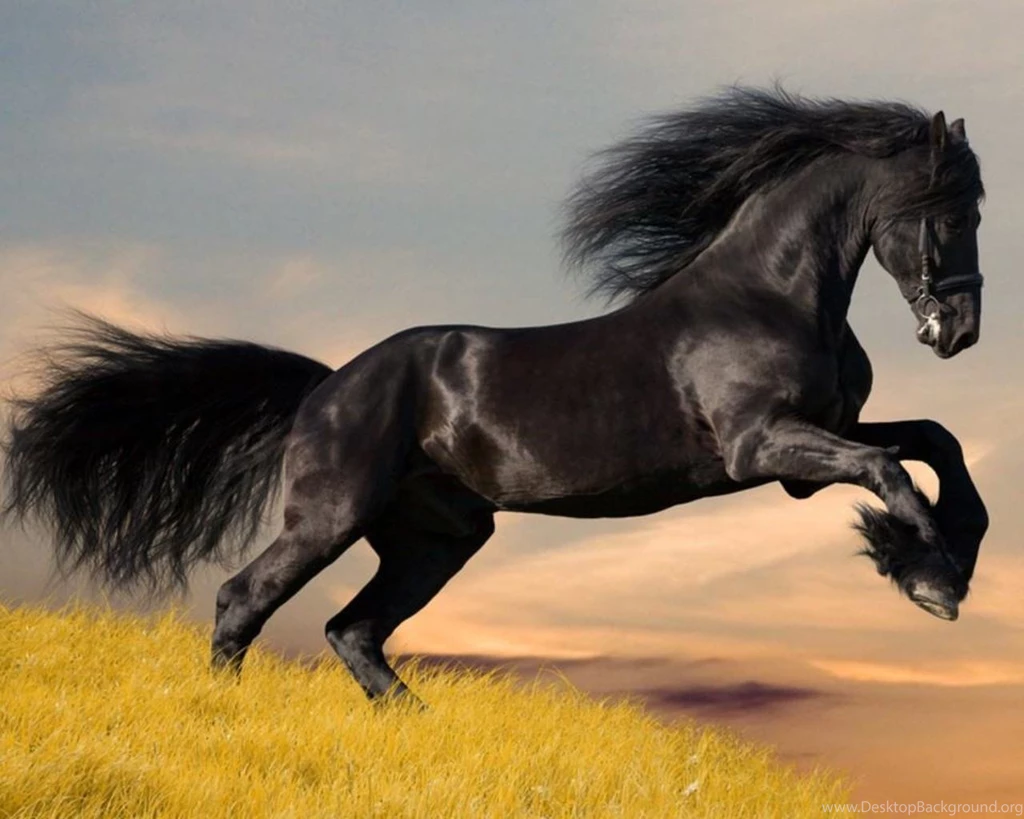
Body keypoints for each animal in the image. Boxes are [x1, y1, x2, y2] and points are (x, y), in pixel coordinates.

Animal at [2, 87, 989, 705]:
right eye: (951, 209)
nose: (961, 331)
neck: (769, 293)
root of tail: (326, 385)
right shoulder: (764, 448)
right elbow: (890, 469)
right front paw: (929, 578)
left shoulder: (812, 445)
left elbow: (934, 441)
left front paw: (947, 556)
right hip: (331, 516)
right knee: (244, 599)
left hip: (437, 537)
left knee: (353, 629)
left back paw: (417, 729)